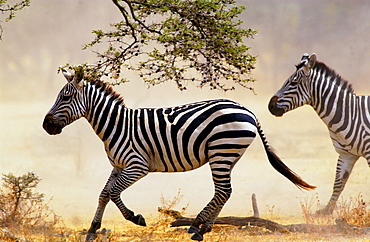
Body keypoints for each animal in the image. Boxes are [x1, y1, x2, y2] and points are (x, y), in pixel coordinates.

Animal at [44, 67, 316, 241]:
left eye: (66, 97)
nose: (46, 126)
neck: (117, 125)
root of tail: (247, 109)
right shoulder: (118, 166)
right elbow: (103, 194)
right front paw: (92, 229)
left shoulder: (137, 166)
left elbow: (113, 193)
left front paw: (135, 218)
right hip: (229, 154)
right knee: (224, 191)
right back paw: (203, 227)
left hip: (221, 152)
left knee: (223, 190)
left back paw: (197, 228)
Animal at [268, 52, 370, 214]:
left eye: (293, 83)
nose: (270, 106)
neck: (350, 114)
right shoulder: (346, 154)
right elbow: (339, 183)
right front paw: (326, 211)